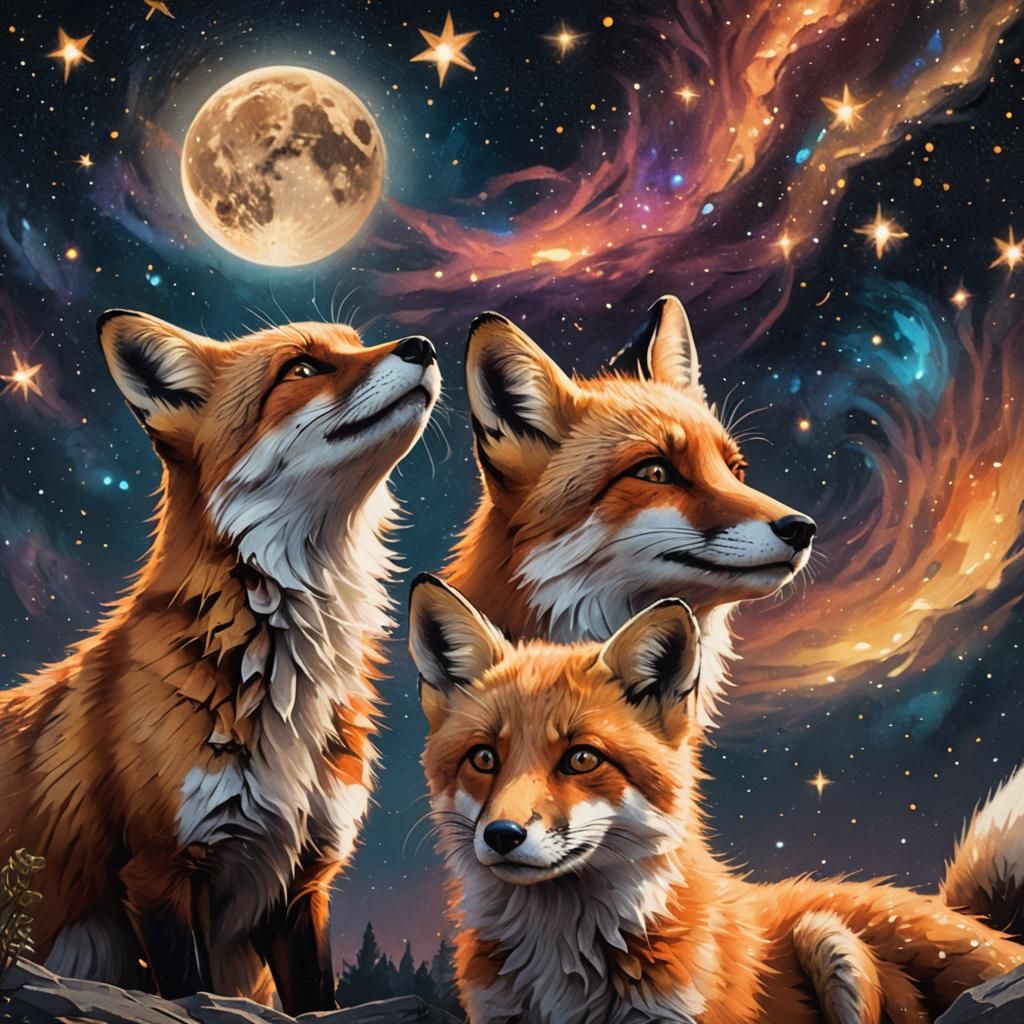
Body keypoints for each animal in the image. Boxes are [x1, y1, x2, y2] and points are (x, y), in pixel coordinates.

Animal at [0, 310, 440, 1013]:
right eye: (302, 367)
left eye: (355, 343)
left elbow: (315, 997)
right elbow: (193, 993)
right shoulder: (158, 871)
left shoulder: (304, 879)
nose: (422, 346)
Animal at [409, 574, 1024, 1024]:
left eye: (582, 758)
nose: (502, 836)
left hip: (831, 941)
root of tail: (977, 922)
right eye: (484, 758)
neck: (564, 962)